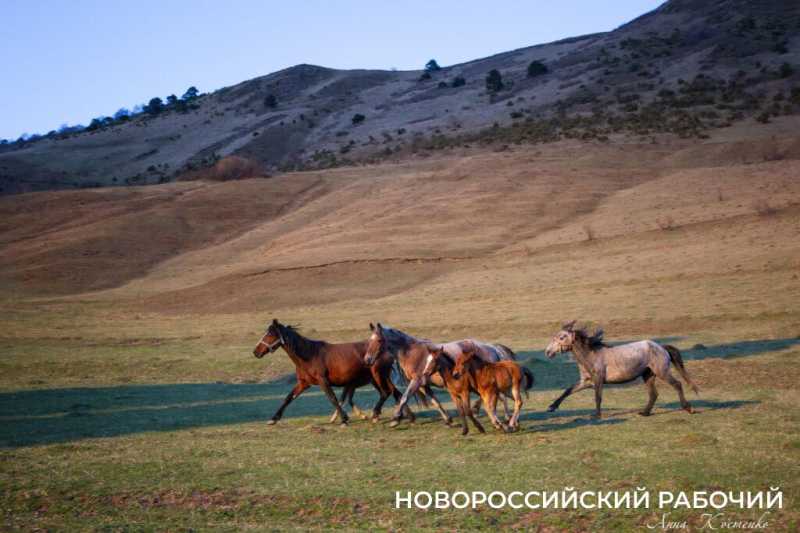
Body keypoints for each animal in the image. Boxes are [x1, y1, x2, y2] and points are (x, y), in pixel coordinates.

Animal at [252, 319, 413, 425]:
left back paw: (378, 415)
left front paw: (344, 419)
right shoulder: (304, 383)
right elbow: (288, 398)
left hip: (378, 375)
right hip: (378, 378)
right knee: (395, 393)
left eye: (270, 335)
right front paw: (273, 419)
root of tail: (388, 350)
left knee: (387, 392)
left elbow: (333, 398)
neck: (309, 355)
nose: (256, 352)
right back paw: (404, 416)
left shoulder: (323, 381)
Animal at [363, 323, 517, 428]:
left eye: (379, 340)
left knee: (499, 396)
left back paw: (504, 417)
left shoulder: (416, 381)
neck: (411, 352)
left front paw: (395, 419)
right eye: (369, 340)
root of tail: (492, 347)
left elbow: (404, 398)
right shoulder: (424, 384)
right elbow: (435, 401)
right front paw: (448, 420)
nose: (367, 359)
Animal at [544, 321, 699, 418]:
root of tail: (661, 347)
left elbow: (598, 397)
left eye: (562, 337)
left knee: (677, 384)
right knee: (654, 394)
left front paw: (596, 415)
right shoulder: (586, 382)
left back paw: (689, 408)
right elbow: (567, 391)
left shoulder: (598, 380)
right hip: (648, 376)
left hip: (662, 372)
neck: (591, 355)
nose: (548, 352)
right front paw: (551, 407)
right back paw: (644, 413)